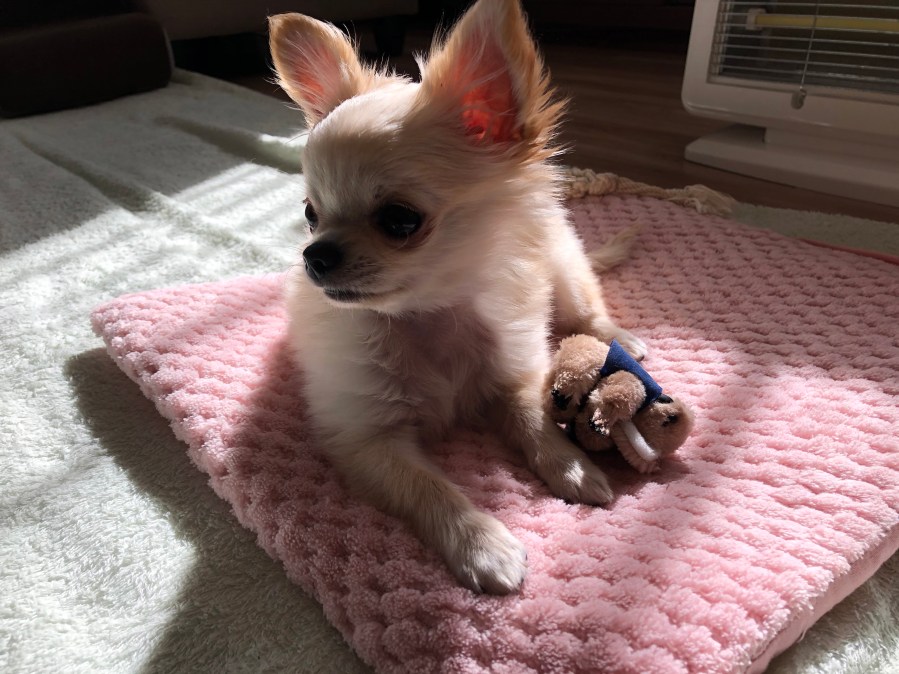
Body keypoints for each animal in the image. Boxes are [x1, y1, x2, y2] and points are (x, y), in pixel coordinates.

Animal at [269, 0, 646, 594]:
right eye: (311, 213)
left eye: (400, 220)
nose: (315, 255)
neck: (431, 315)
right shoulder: (367, 439)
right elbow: (429, 487)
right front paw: (482, 544)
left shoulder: (514, 374)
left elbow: (533, 419)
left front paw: (571, 466)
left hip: (564, 266)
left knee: (587, 309)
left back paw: (619, 337)